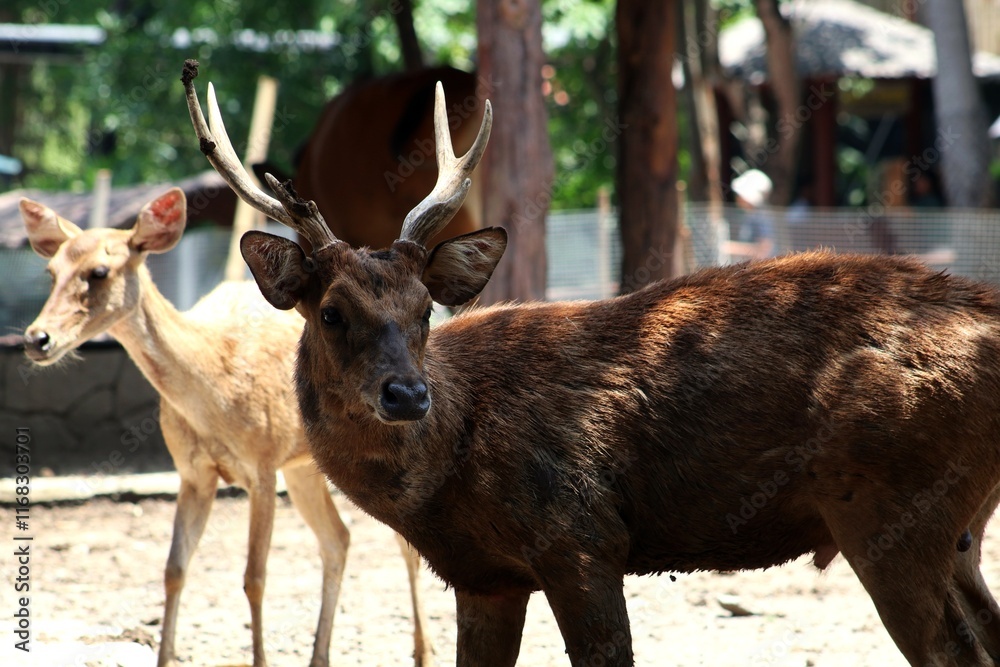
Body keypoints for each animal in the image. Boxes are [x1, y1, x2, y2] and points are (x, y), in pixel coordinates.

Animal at [20, 188, 435, 667]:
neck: (214, 395)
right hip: (304, 468)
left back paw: (424, 651)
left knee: (401, 542)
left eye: (99, 271)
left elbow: (254, 576)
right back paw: (321, 655)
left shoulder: (263, 464)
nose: (36, 339)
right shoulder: (192, 472)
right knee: (338, 539)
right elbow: (174, 570)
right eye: (51, 271)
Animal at [185, 58, 1000, 666]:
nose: (407, 394)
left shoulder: (580, 536)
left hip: (890, 507)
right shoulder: (484, 578)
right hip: (956, 527)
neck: (450, 478)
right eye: (331, 311)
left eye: (424, 310)